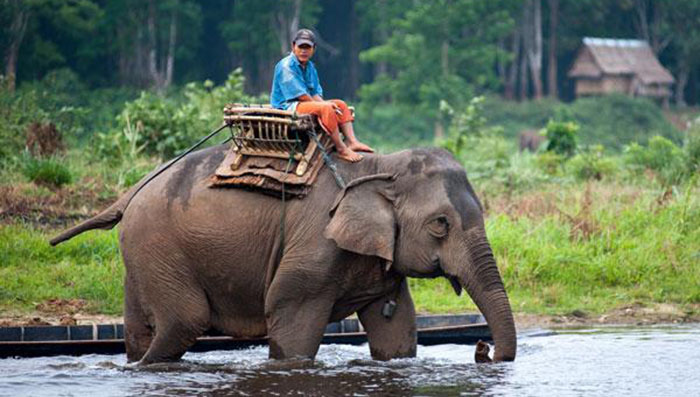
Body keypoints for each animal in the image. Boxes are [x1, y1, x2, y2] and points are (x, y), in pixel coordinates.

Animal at [52, 145, 516, 362]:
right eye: (441, 224)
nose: (483, 349)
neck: (380, 166)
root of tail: (130, 193)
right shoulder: (314, 243)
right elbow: (289, 313)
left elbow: (395, 326)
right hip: (159, 247)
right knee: (185, 321)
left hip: (143, 255)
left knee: (141, 329)